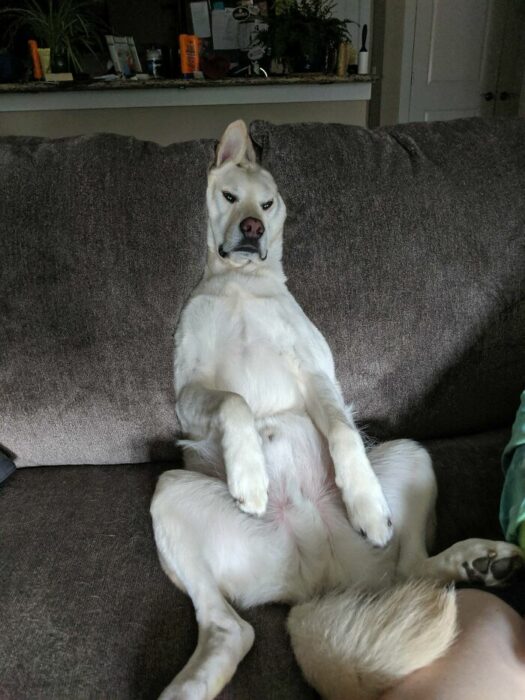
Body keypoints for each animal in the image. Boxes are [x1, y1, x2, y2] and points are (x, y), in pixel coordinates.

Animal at [149, 121, 520, 700]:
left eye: (267, 203)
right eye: (229, 197)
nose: (253, 227)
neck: (241, 283)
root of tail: (315, 585)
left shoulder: (317, 372)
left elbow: (343, 434)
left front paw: (365, 504)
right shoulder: (191, 392)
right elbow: (235, 400)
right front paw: (249, 475)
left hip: (413, 454)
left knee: (412, 568)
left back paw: (477, 561)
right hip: (168, 494)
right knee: (232, 629)